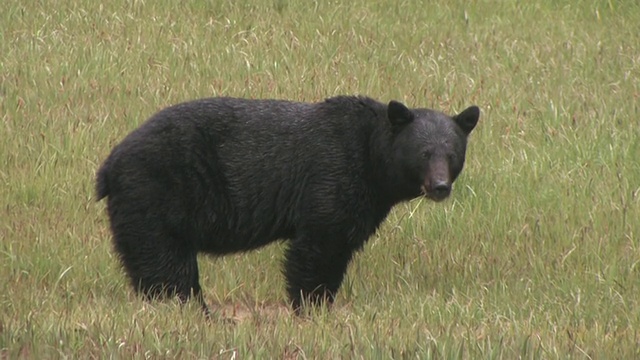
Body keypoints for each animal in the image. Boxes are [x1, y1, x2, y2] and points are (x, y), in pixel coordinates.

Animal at [97, 95, 480, 312]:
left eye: (452, 153)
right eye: (424, 153)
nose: (440, 186)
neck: (372, 155)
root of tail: (110, 164)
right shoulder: (332, 174)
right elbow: (319, 245)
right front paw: (311, 306)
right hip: (156, 193)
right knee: (164, 263)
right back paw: (189, 310)